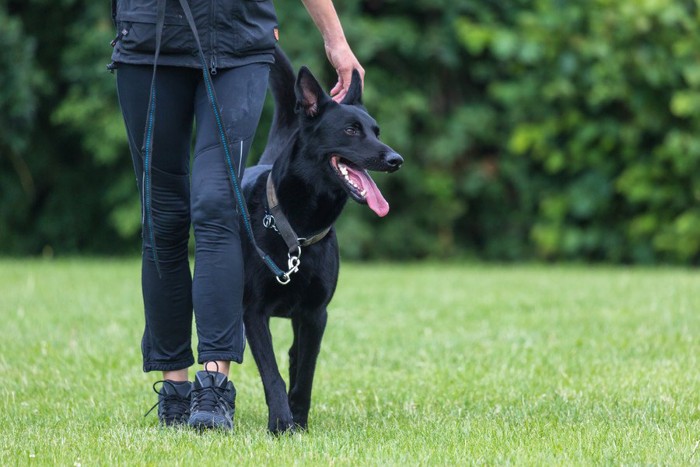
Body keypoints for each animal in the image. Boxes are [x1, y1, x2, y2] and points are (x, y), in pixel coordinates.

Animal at [242, 47, 402, 436]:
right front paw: (280, 423)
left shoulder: (315, 314)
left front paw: (297, 421)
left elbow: (305, 373)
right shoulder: (254, 312)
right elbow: (272, 374)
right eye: (351, 130)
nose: (396, 159)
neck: (297, 228)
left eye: (376, 131)